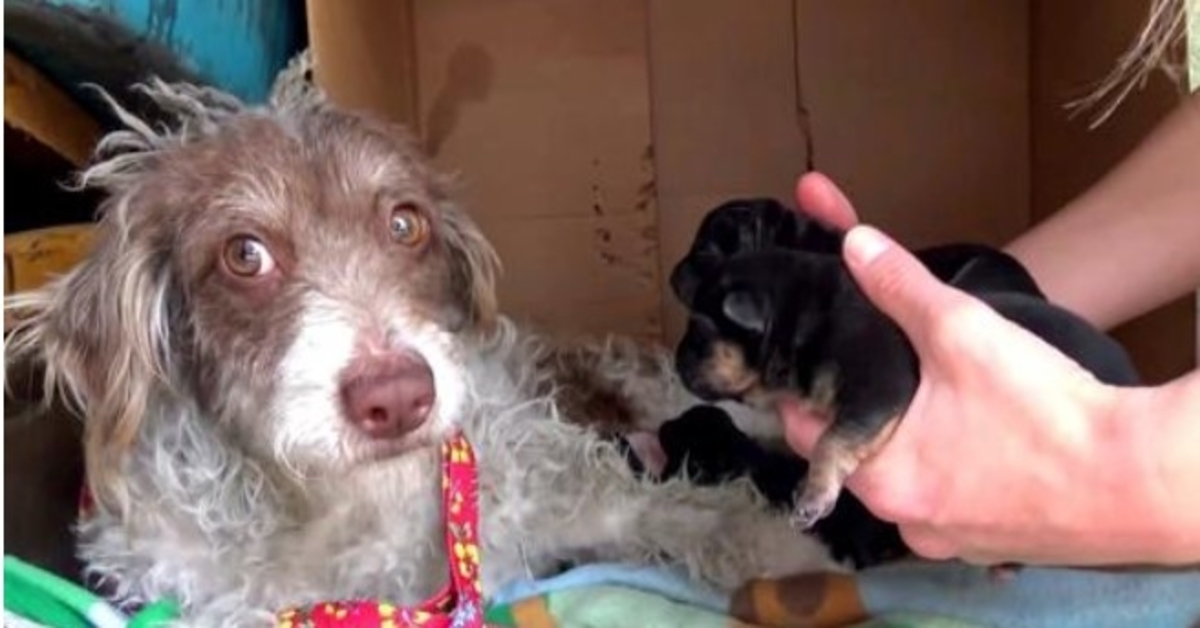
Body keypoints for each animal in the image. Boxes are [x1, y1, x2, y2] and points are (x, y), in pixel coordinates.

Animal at [4, 67, 840, 619]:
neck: (338, 504)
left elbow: (686, 511)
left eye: (404, 223)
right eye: (244, 254)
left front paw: (792, 556)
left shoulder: (558, 485)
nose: (397, 396)